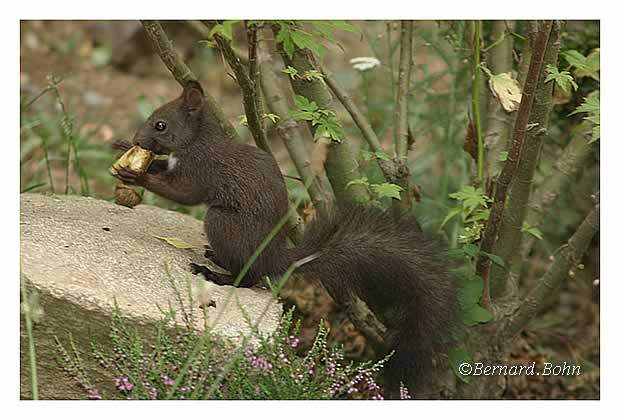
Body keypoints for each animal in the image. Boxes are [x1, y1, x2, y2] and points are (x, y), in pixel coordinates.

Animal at [111, 80, 460, 396]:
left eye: (160, 124)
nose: (136, 139)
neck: (195, 141)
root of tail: (276, 257)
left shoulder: (200, 170)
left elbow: (183, 193)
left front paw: (137, 174)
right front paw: (126, 150)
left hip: (223, 223)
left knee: (248, 278)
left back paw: (217, 275)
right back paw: (214, 258)